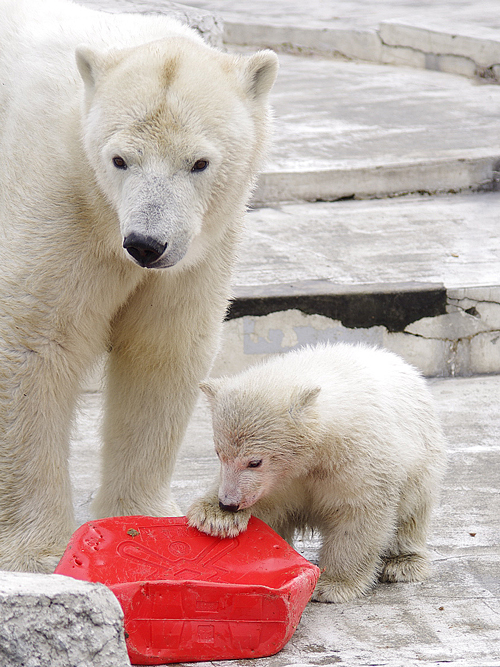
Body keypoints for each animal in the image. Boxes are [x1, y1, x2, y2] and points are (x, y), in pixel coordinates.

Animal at [0, 0, 278, 576]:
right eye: (119, 159)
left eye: (200, 162)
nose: (147, 244)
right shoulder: (57, 198)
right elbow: (36, 343)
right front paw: (35, 552)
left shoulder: (200, 250)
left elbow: (161, 348)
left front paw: (141, 516)